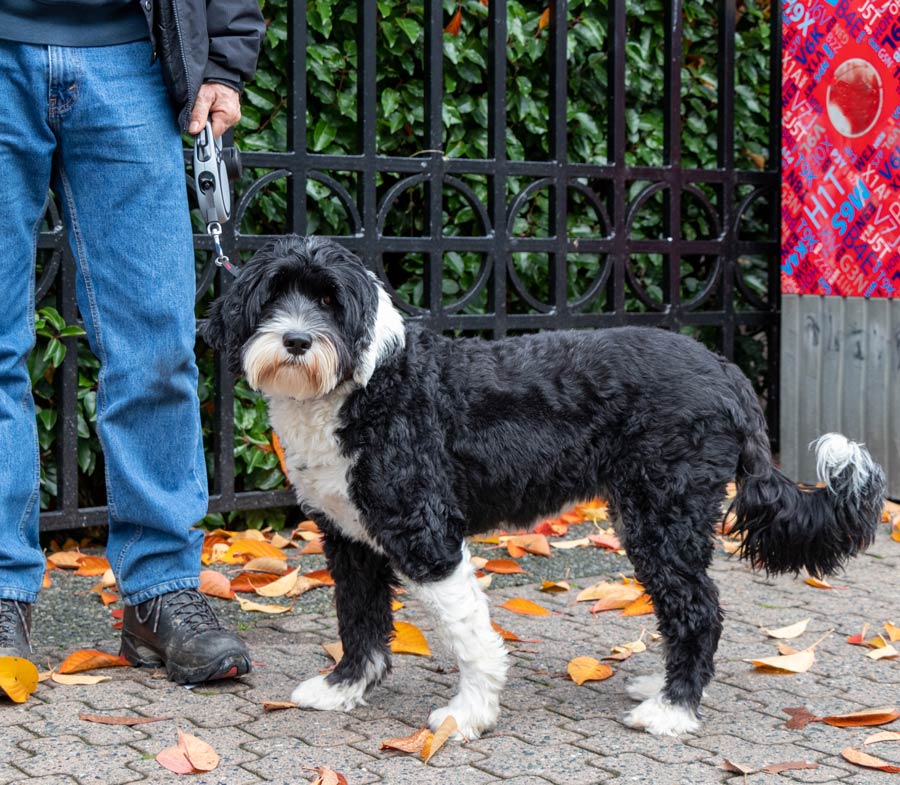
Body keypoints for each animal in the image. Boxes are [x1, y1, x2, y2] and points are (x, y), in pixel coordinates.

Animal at [200, 236, 884, 740]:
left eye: (330, 300)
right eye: (274, 295)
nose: (296, 339)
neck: (370, 383)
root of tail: (726, 372)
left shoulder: (425, 533)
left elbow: (470, 636)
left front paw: (466, 715)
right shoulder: (350, 538)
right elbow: (359, 618)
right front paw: (344, 687)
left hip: (662, 514)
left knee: (699, 609)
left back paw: (673, 708)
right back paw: (665, 687)